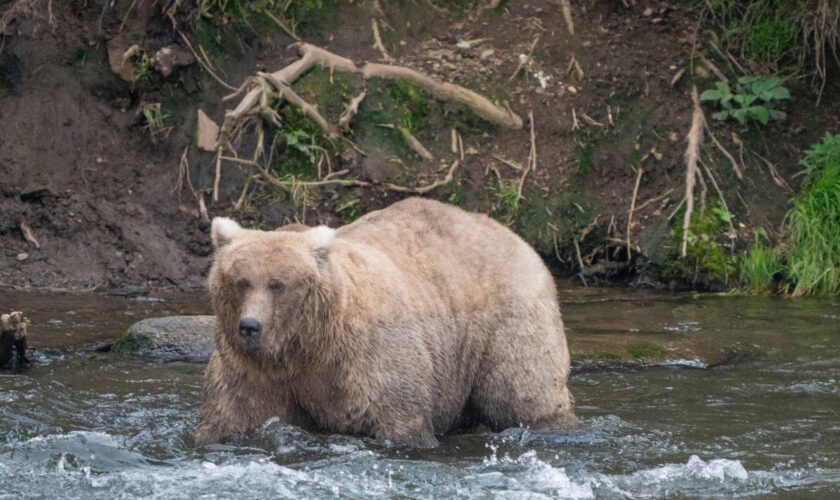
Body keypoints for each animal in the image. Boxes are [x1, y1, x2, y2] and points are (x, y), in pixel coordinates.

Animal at [195, 195, 576, 446]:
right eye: (240, 281)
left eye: (278, 284)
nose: (250, 326)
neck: (307, 346)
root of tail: (515, 236)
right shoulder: (254, 371)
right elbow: (232, 415)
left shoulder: (368, 358)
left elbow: (399, 417)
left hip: (506, 322)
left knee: (522, 392)